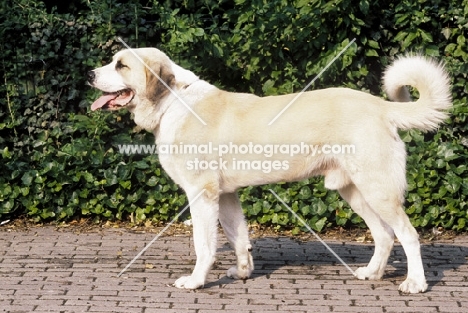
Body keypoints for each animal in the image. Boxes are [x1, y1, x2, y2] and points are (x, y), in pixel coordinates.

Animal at [88, 47, 450, 292]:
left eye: (121, 65)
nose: (90, 75)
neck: (173, 102)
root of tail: (379, 106)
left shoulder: (202, 195)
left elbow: (204, 245)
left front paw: (196, 280)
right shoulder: (227, 196)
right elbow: (238, 237)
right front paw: (242, 272)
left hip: (378, 190)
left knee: (408, 234)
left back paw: (415, 283)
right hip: (356, 192)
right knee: (384, 235)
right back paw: (372, 273)